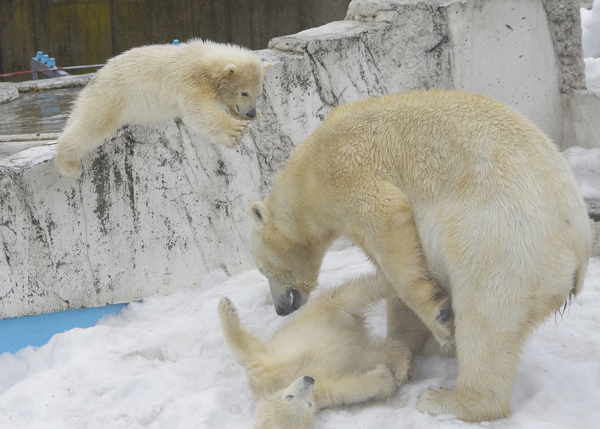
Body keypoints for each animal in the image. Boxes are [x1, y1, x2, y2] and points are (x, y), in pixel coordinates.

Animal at [56, 39, 268, 178]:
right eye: (244, 92)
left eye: (258, 93)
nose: (250, 112)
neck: (204, 59)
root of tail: (94, 78)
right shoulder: (190, 79)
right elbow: (198, 110)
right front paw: (237, 130)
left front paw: (251, 116)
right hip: (112, 97)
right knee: (93, 125)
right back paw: (69, 165)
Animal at [218, 272, 414, 426]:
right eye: (308, 405)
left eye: (289, 397)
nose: (308, 379)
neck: (280, 385)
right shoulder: (322, 391)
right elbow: (349, 387)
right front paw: (386, 378)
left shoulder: (263, 371)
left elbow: (245, 348)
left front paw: (225, 307)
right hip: (355, 348)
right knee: (376, 352)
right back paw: (401, 366)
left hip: (326, 311)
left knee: (356, 291)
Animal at [248, 88, 592, 420]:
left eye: (264, 269)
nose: (280, 308)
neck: (306, 172)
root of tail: (578, 252)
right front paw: (408, 346)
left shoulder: (346, 169)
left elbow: (388, 226)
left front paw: (436, 318)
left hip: (503, 240)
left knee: (485, 314)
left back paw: (448, 400)